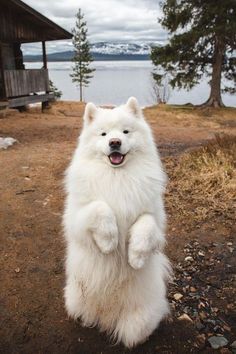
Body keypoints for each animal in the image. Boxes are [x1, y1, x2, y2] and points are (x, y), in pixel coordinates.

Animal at [64, 97, 171, 348]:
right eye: (103, 134)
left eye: (125, 132)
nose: (115, 142)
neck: (117, 176)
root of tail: (107, 316)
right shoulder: (77, 217)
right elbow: (101, 208)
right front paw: (108, 244)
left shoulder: (155, 217)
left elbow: (145, 226)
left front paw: (136, 258)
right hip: (75, 298)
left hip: (139, 319)